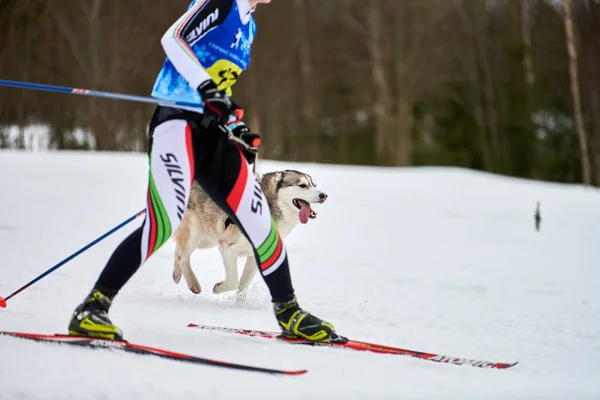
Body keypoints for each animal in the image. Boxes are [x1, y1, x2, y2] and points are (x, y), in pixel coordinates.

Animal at [171, 169, 326, 294]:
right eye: (302, 185)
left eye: (314, 185)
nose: (324, 195)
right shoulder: (227, 246)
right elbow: (234, 281)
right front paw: (219, 288)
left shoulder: (254, 257)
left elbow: (242, 286)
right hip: (195, 233)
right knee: (182, 257)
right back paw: (193, 283)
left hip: (205, 239)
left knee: (178, 251)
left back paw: (177, 274)